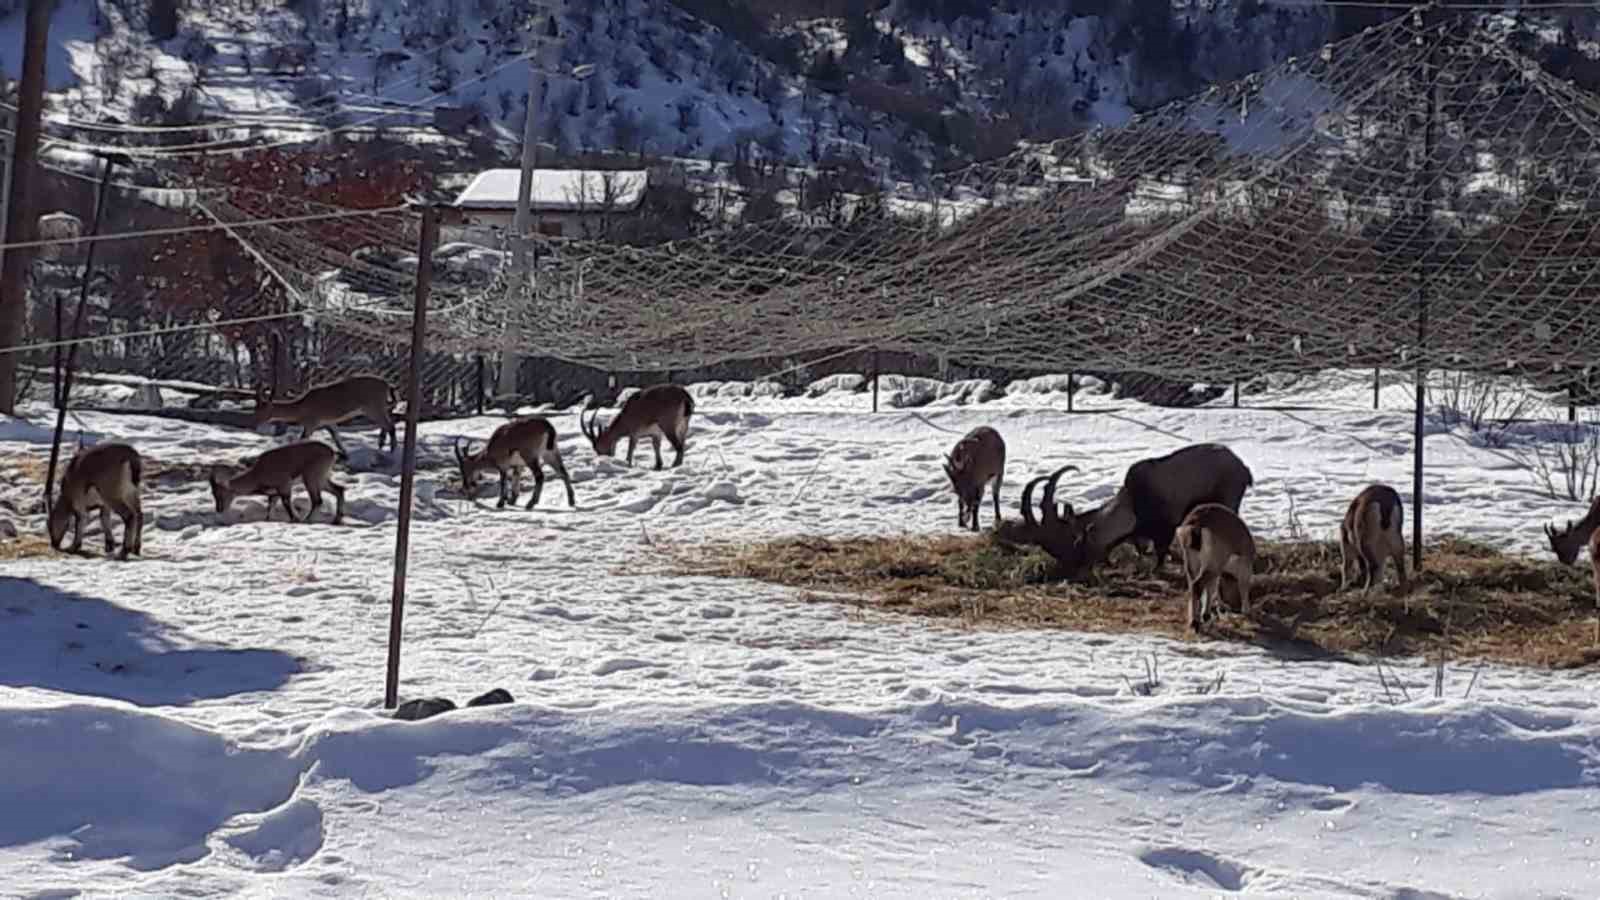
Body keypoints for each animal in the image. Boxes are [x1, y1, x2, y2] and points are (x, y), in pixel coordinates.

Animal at [212, 438, 347, 522]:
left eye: (220, 494)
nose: (219, 509)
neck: (257, 474)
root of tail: (332, 452)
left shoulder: (284, 484)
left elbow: (286, 502)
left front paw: (295, 519)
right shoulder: (275, 492)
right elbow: (270, 506)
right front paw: (269, 519)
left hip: (311, 476)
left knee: (317, 500)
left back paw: (306, 519)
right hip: (322, 478)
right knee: (339, 490)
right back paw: (336, 520)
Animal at [252, 373, 400, 451]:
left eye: (262, 410)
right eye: (255, 408)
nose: (255, 422)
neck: (301, 409)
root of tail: (387, 385)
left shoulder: (312, 421)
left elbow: (302, 438)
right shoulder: (328, 421)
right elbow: (336, 436)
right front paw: (344, 453)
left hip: (372, 407)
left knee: (390, 425)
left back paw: (392, 448)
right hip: (377, 407)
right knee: (389, 420)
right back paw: (381, 443)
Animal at [1004, 438, 1254, 573]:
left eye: (1074, 549)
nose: (1072, 571)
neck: (1132, 503)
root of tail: (1243, 468)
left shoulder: (1165, 527)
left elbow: (1160, 552)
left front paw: (1155, 569)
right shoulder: (1141, 533)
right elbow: (1140, 547)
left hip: (1228, 499)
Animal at [1171, 496, 1254, 630]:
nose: (1231, 607)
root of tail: (1196, 525)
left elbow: (1212, 587)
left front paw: (1207, 615)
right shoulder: (1239, 567)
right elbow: (1242, 586)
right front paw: (1246, 610)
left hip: (1191, 561)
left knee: (1193, 585)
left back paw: (1194, 619)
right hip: (1212, 562)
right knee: (1198, 585)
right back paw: (1195, 623)